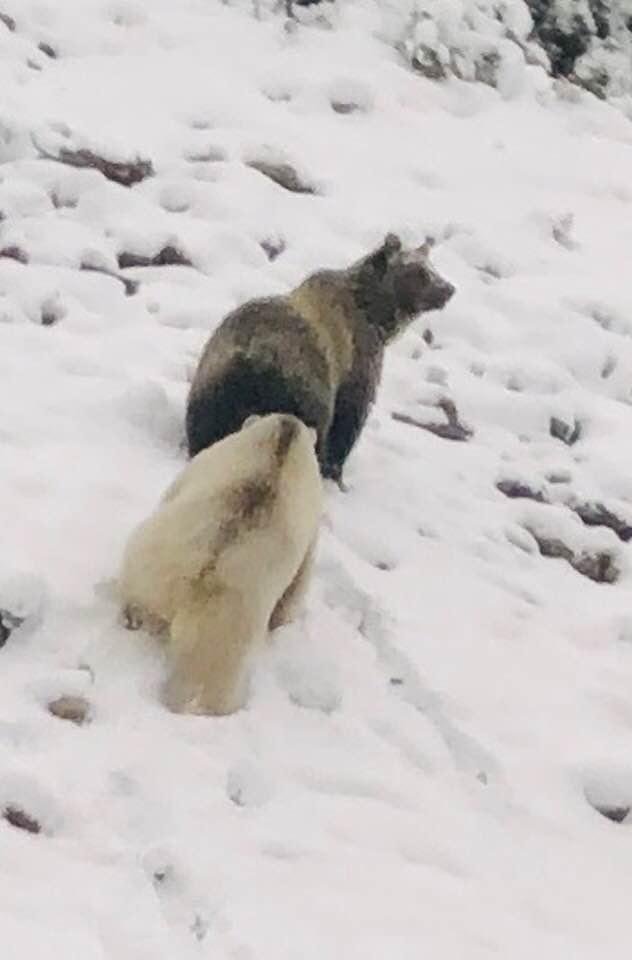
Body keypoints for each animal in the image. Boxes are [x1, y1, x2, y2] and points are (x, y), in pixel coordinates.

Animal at [117, 413, 323, 716]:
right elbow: (298, 585)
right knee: (211, 680)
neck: (286, 435)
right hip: (229, 624)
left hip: (148, 565)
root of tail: (197, 578)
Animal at [186, 232, 455, 485]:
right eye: (420, 271)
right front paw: (335, 473)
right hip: (301, 389)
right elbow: (348, 422)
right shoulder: (356, 363)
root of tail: (251, 356)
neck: (375, 317)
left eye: (431, 265)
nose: (448, 288)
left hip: (212, 385)